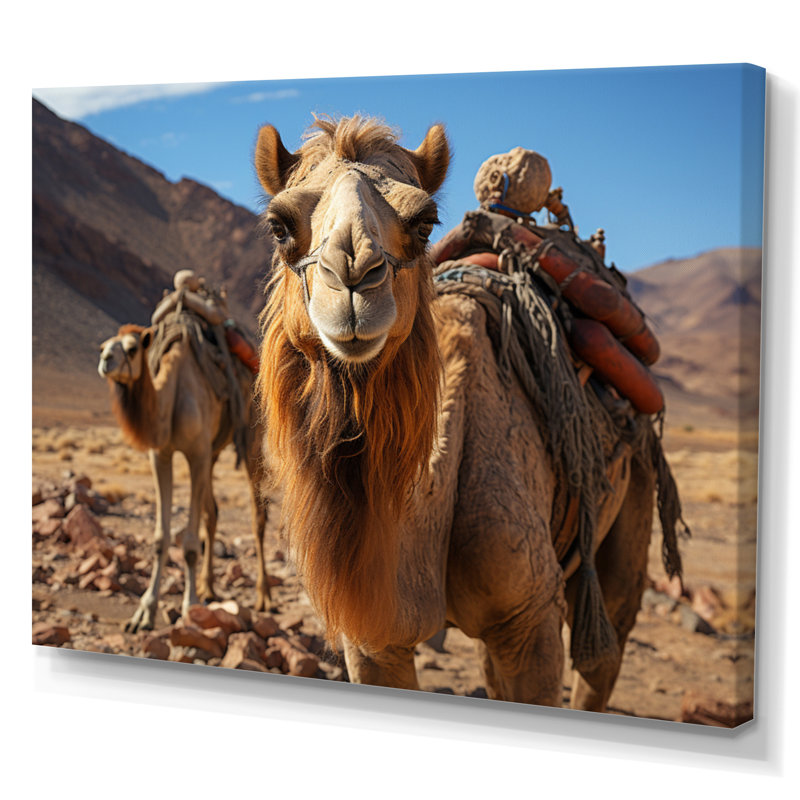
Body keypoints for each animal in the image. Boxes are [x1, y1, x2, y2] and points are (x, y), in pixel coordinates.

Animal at [98, 319, 270, 632]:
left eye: (132, 348)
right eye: (103, 346)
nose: (105, 360)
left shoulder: (196, 454)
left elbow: (189, 543)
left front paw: (190, 608)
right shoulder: (161, 456)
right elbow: (160, 538)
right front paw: (144, 613)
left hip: (252, 439)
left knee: (258, 517)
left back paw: (264, 598)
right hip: (213, 453)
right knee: (212, 514)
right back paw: (207, 587)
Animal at [253, 115, 681, 709]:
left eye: (425, 222)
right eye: (279, 225)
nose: (354, 279)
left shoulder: (530, 621)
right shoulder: (373, 638)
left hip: (632, 494)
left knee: (604, 648)